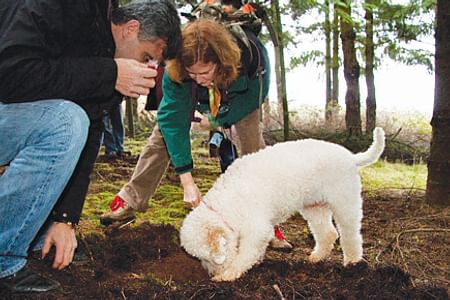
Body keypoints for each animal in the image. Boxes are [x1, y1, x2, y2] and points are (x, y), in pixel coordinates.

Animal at [181, 128, 384, 282]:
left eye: (208, 258)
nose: (211, 274)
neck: (226, 203)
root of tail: (351, 157)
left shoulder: (258, 229)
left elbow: (245, 254)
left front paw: (228, 275)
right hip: (314, 207)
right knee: (328, 233)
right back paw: (317, 257)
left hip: (345, 202)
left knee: (350, 235)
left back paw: (352, 263)